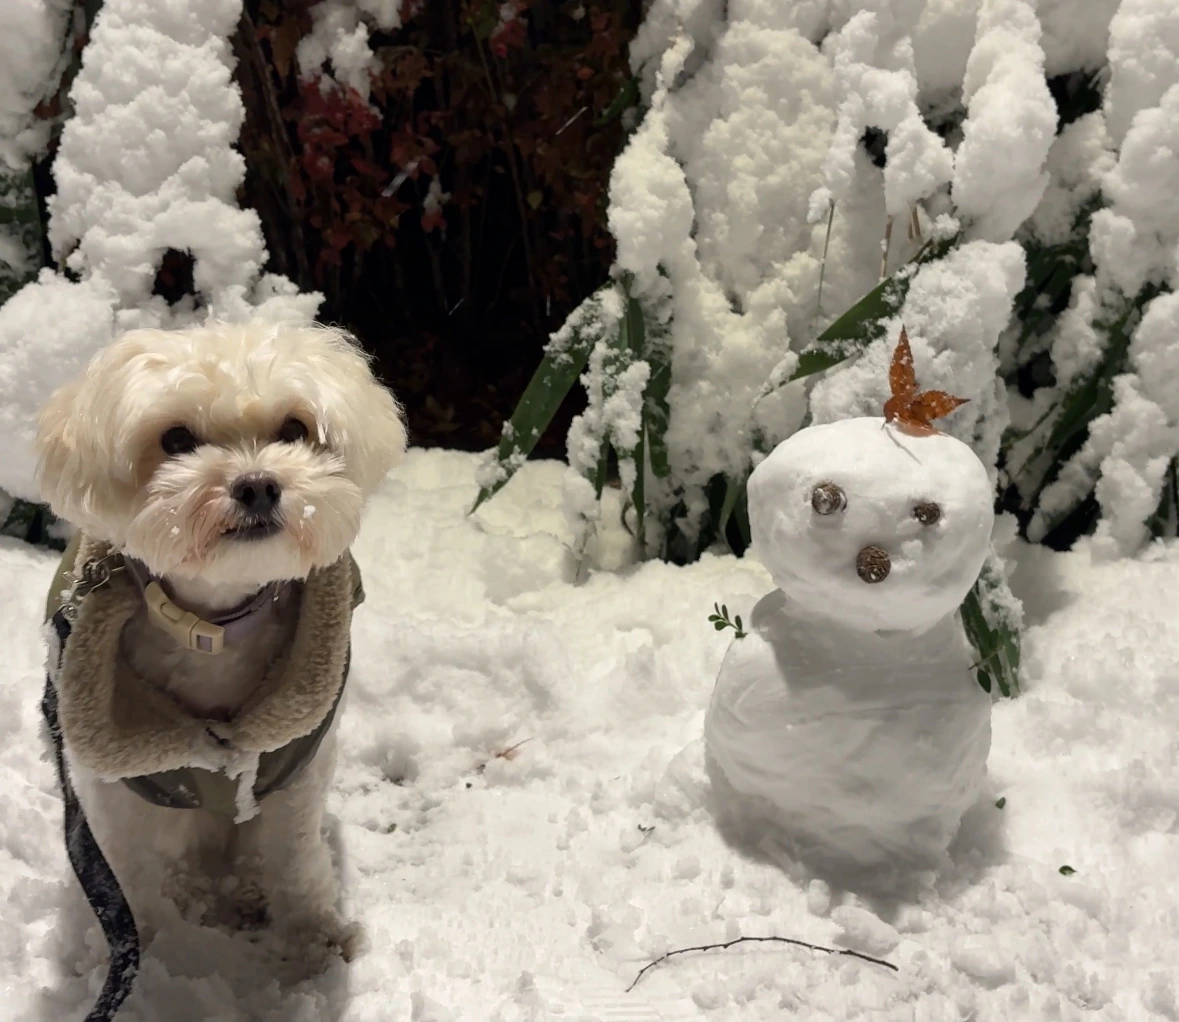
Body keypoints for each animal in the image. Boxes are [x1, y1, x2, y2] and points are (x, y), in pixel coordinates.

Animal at [35, 320, 406, 982]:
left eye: (294, 428)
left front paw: (316, 936)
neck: (213, 628)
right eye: (176, 439)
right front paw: (132, 954)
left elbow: (295, 859)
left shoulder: (295, 769)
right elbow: (128, 876)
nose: (257, 486)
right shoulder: (115, 790)